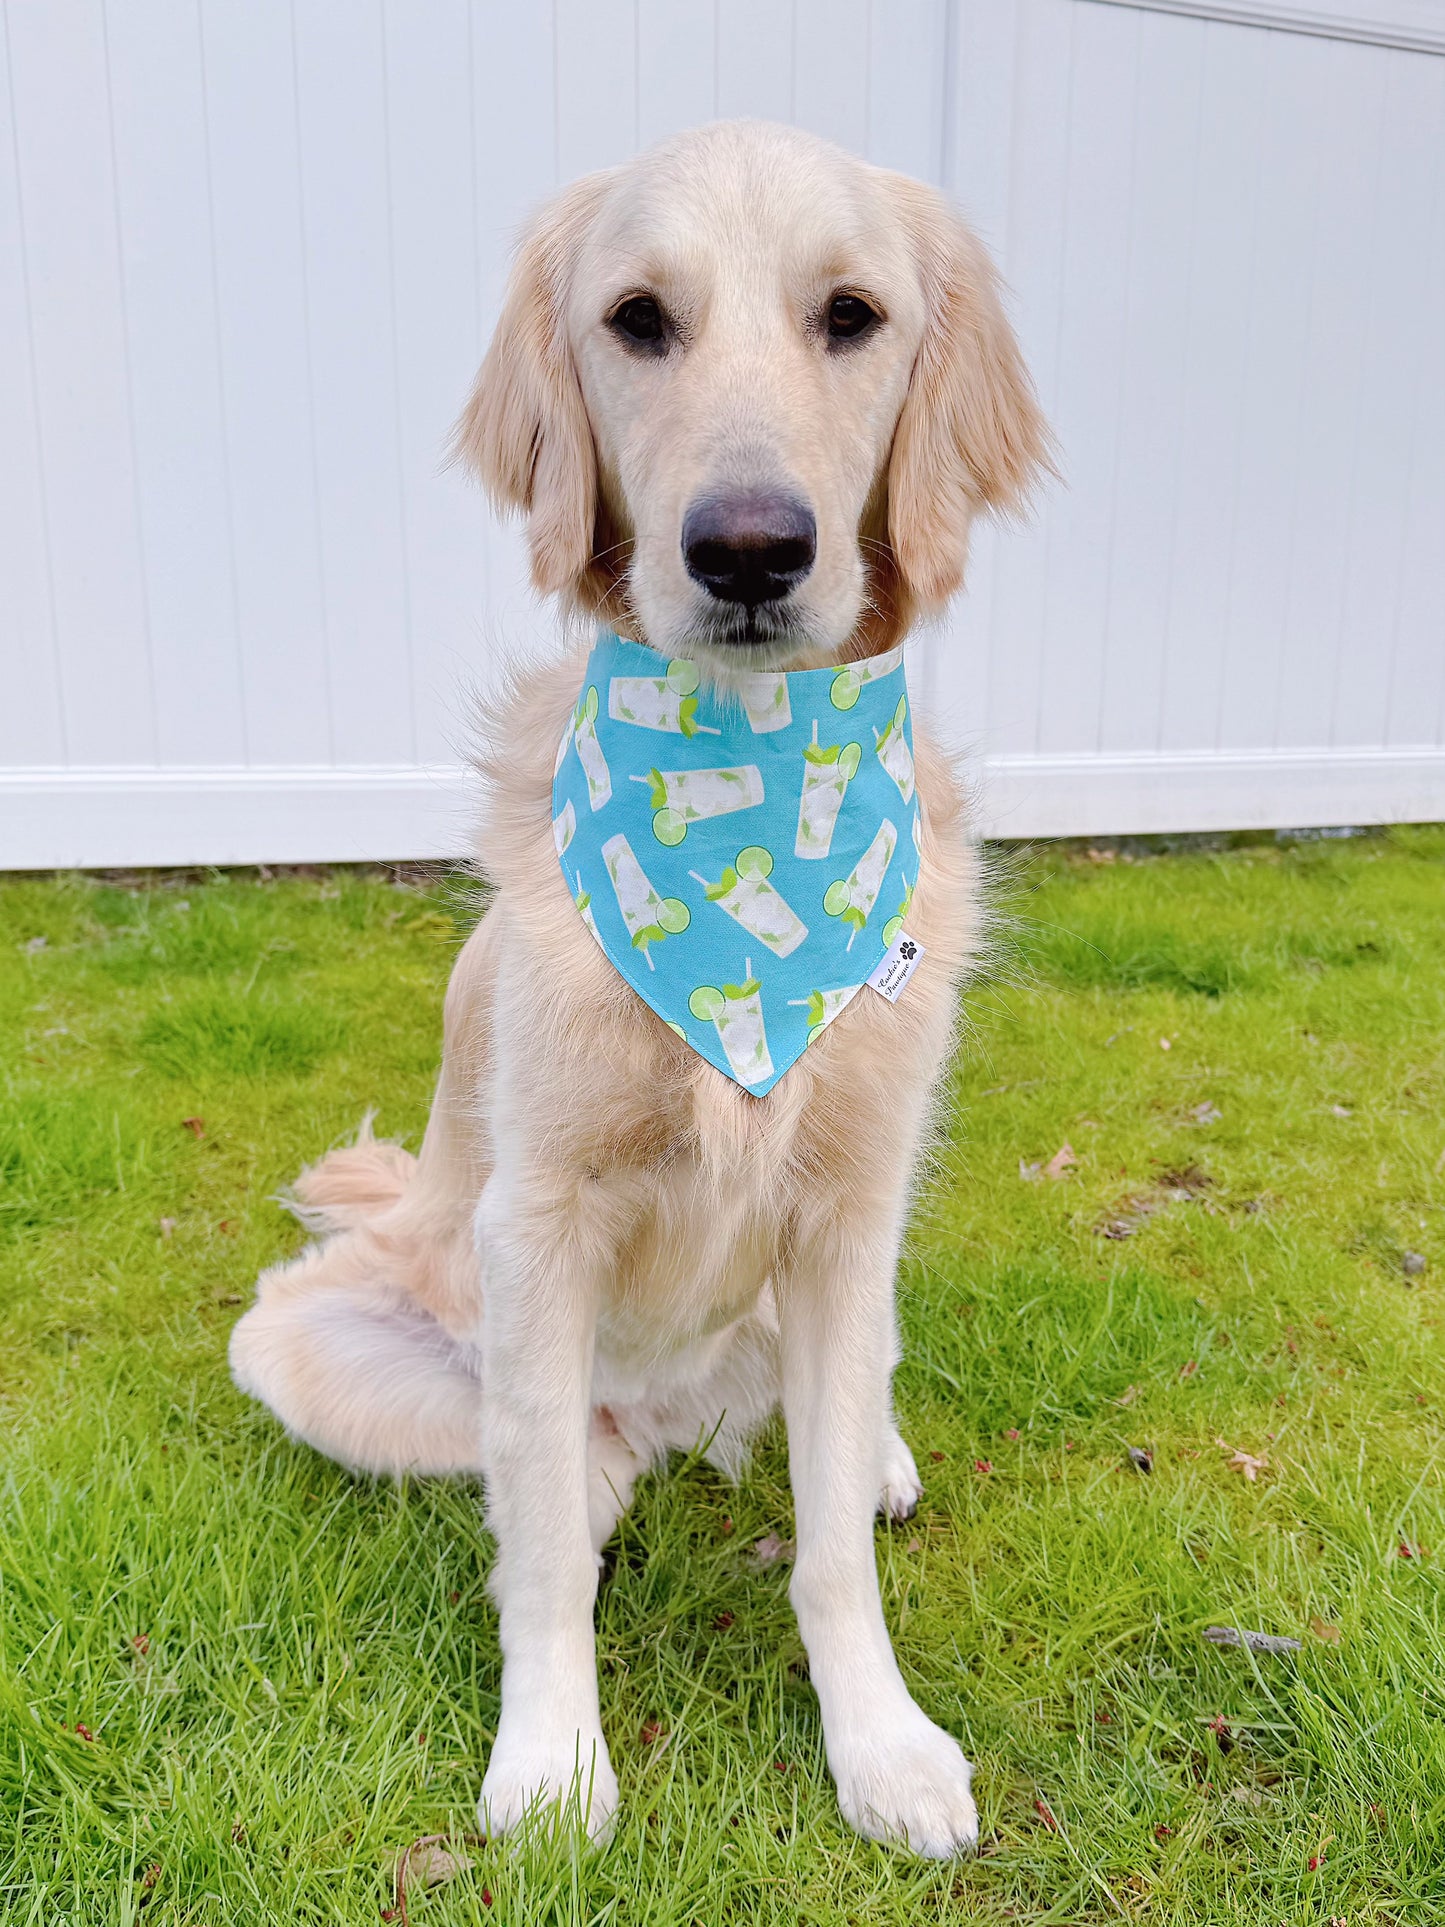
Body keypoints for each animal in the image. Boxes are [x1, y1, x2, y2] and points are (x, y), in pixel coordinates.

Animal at [232, 116, 1048, 1849]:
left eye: (852, 315)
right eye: (637, 320)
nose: (747, 548)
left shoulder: (849, 1211)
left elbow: (830, 1547)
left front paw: (880, 1743)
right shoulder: (538, 1219)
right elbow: (541, 1547)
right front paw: (549, 1761)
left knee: (828, 1428)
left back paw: (874, 1450)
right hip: (331, 1333)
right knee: (577, 1479)